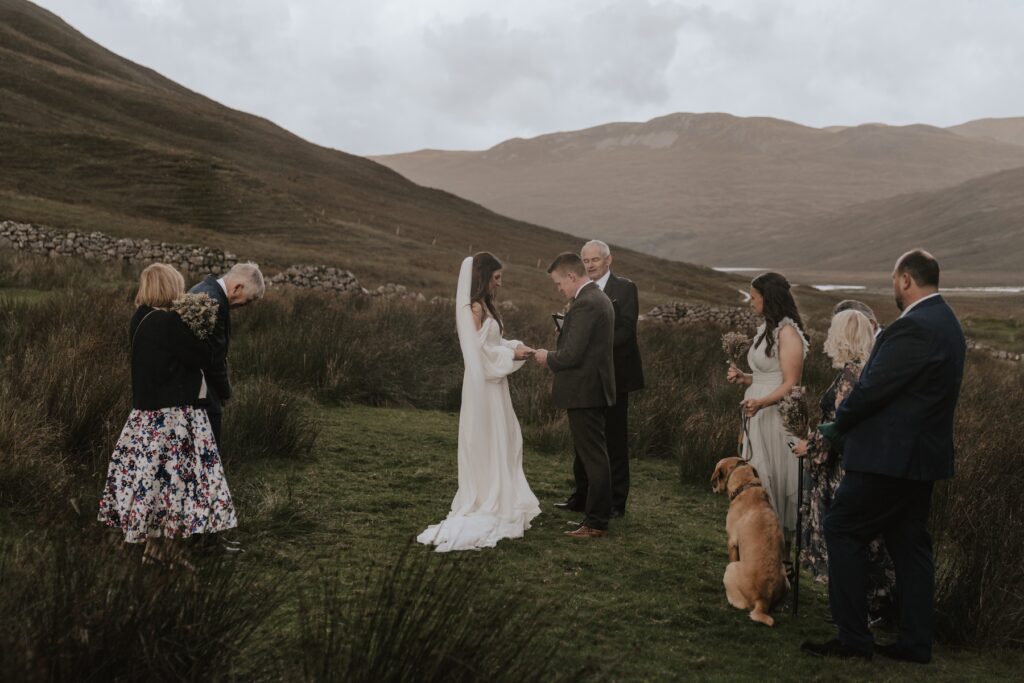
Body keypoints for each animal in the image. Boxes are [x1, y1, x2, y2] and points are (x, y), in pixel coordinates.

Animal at [712, 456, 790, 626]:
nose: (712, 485)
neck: (746, 486)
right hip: (785, 577)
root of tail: (763, 602)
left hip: (730, 569)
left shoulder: (732, 542)